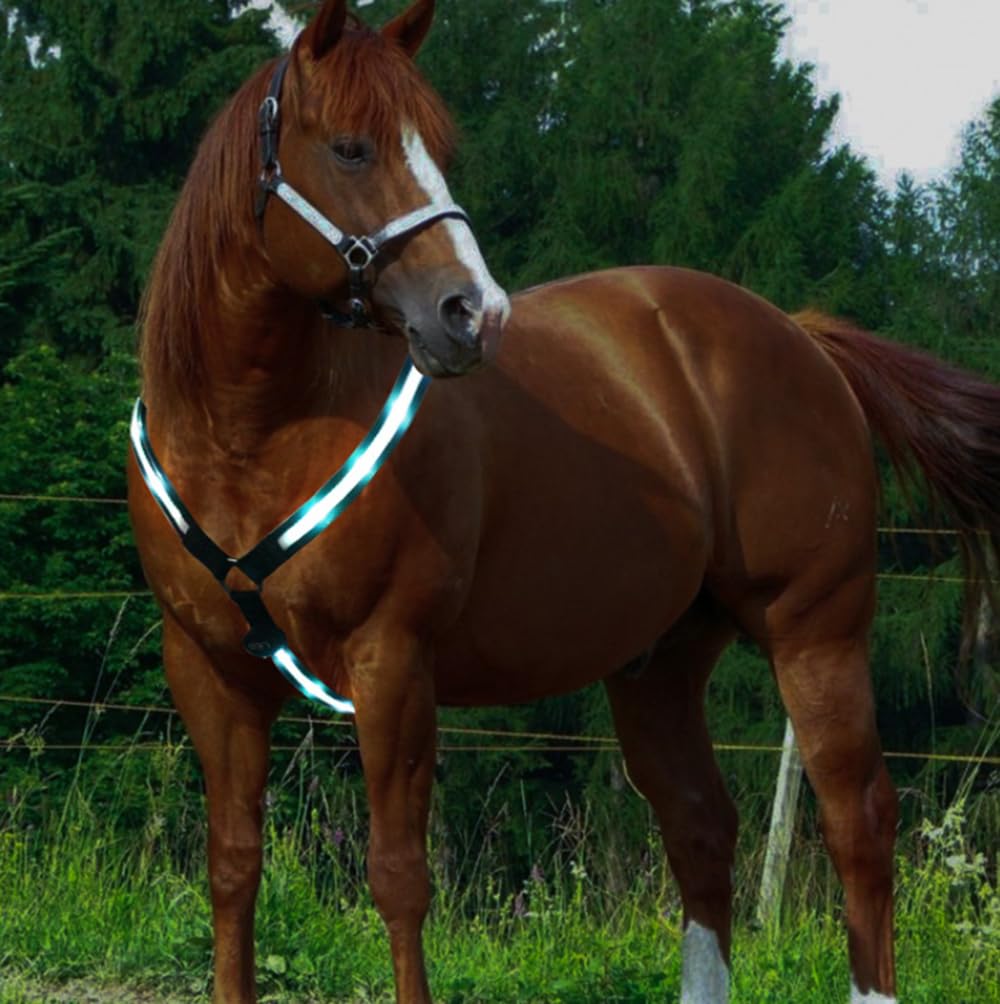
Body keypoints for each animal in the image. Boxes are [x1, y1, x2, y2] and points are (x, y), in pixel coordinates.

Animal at [127, 1, 1000, 1002]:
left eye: (438, 145)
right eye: (350, 148)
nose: (473, 312)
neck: (252, 437)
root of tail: (802, 337)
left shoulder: (392, 664)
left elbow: (397, 876)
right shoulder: (209, 670)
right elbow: (233, 864)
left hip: (816, 636)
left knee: (859, 820)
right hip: (660, 664)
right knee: (702, 827)